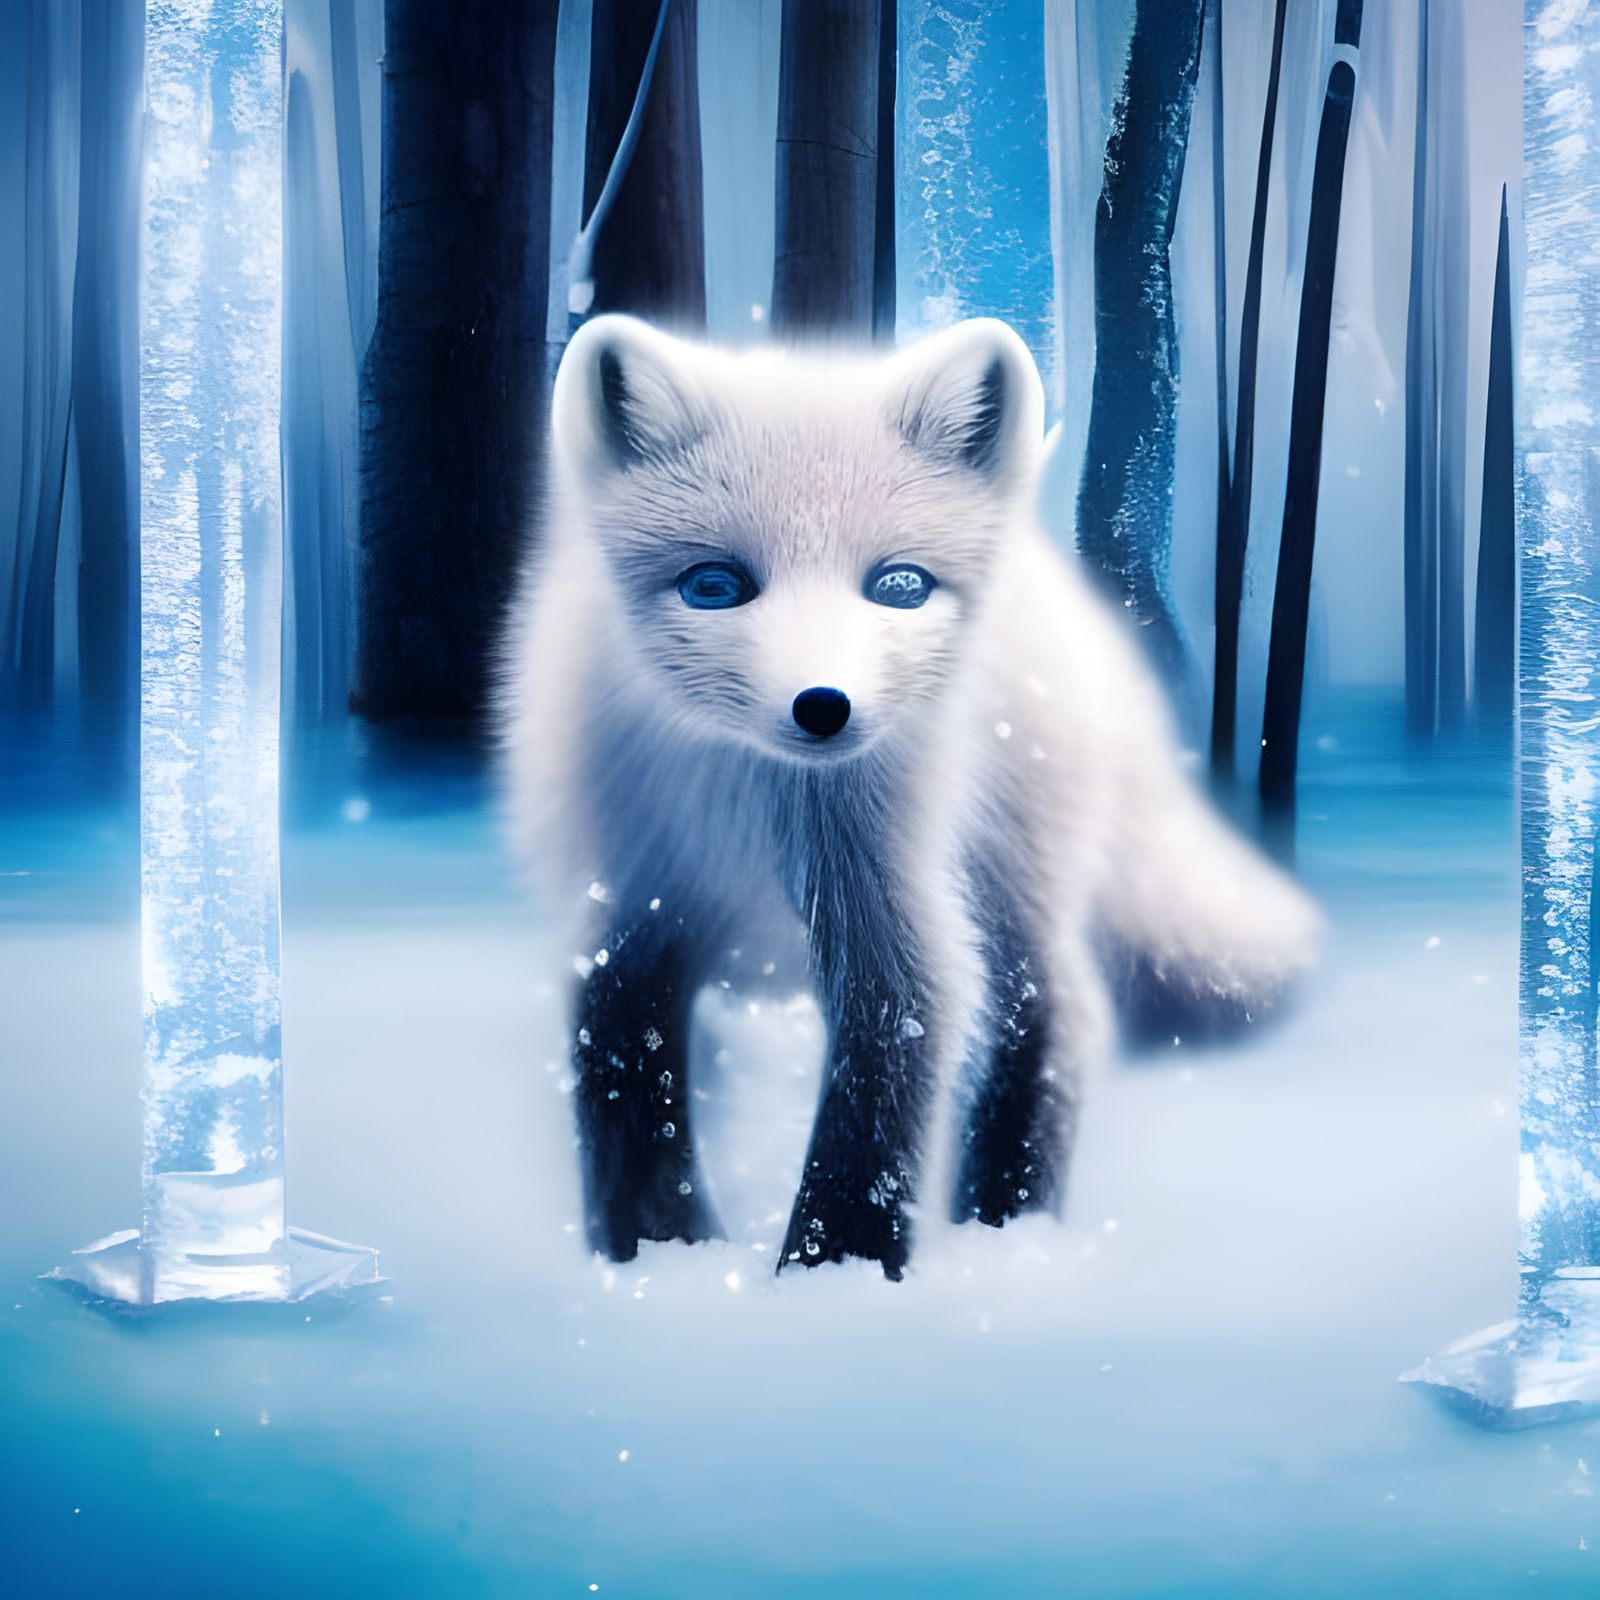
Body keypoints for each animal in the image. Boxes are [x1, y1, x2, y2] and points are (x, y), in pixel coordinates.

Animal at [499, 313, 1320, 1281]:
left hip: (1014, 884)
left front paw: (832, 1276)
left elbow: (880, 1086)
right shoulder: (637, 894)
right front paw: (655, 1252)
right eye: (714, 585)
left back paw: (1004, 1227)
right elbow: (620, 1054)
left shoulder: (885, 904)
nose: (822, 706)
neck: (747, 801)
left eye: (900, 587)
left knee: (1056, 1012)